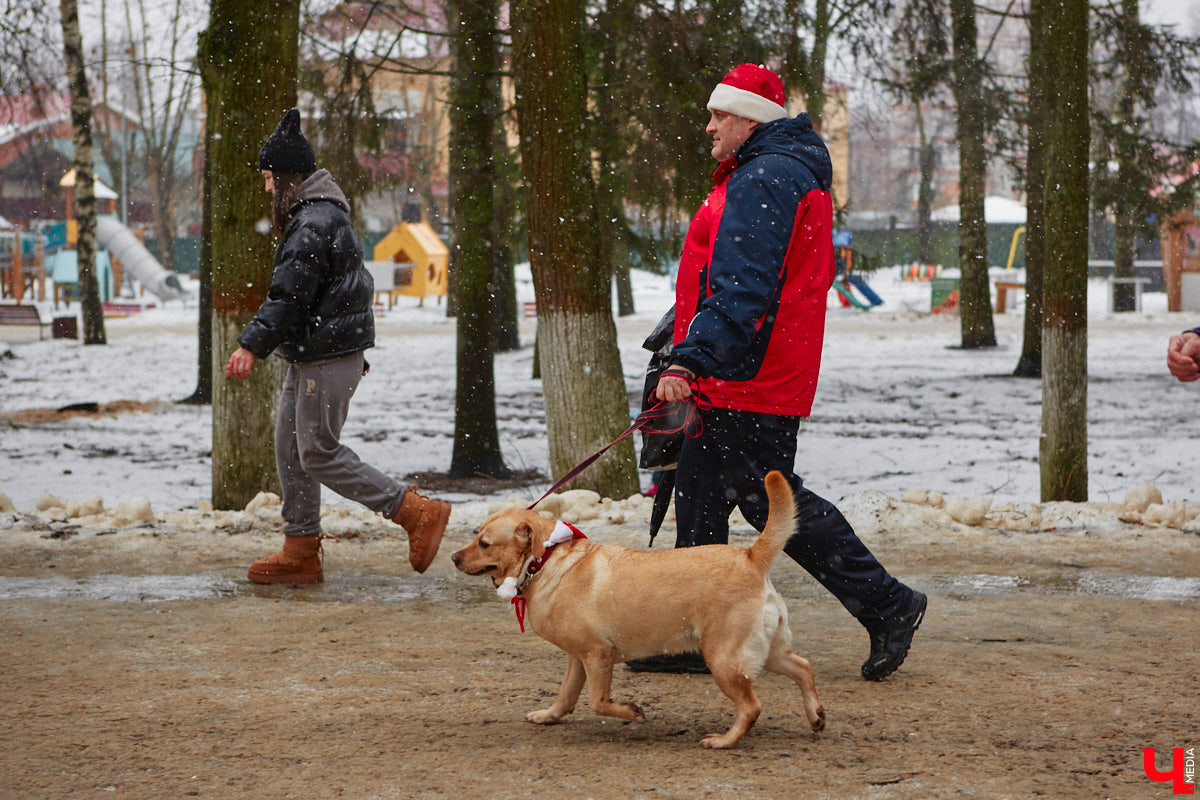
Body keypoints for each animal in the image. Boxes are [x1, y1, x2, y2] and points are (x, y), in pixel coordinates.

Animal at [451, 472, 825, 748]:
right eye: (476, 535)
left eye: (484, 543)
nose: (453, 557)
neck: (542, 561)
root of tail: (751, 556)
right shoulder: (577, 657)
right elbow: (566, 696)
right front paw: (548, 716)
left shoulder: (598, 654)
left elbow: (598, 701)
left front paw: (631, 712)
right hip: (764, 650)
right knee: (803, 667)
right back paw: (816, 714)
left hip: (723, 658)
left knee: (751, 707)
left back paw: (724, 741)